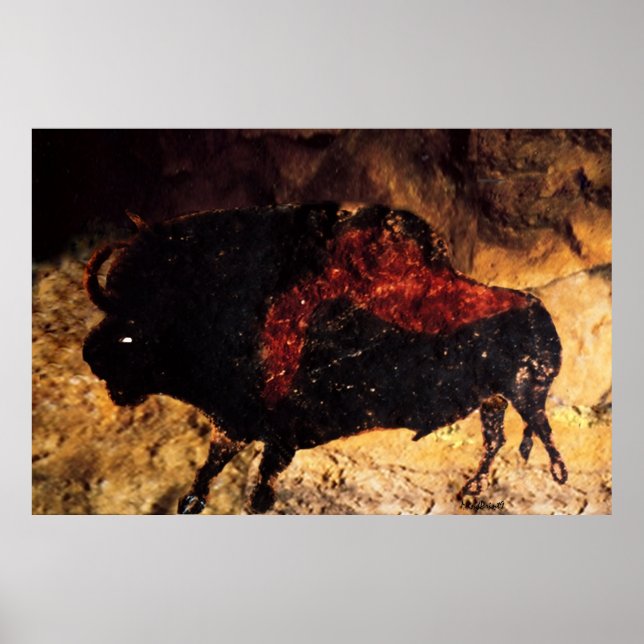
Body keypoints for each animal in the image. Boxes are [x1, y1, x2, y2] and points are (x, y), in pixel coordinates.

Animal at [82, 203, 568, 514]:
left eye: (133, 322)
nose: (91, 356)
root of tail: (538, 308)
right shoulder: (234, 424)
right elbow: (213, 464)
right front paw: (191, 501)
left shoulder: (276, 434)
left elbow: (261, 481)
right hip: (495, 401)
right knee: (496, 440)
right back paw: (471, 489)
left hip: (524, 395)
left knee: (539, 434)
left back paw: (554, 478)